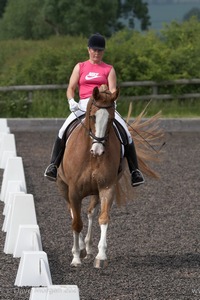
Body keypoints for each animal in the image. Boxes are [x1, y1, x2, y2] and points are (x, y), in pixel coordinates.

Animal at [57, 85, 163, 268]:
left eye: (111, 119)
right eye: (92, 116)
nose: (98, 150)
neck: (91, 156)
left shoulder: (107, 187)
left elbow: (104, 218)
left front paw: (101, 256)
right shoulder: (74, 191)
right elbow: (76, 223)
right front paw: (76, 257)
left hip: (95, 191)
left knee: (90, 213)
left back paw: (88, 248)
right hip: (64, 188)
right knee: (73, 212)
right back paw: (79, 249)